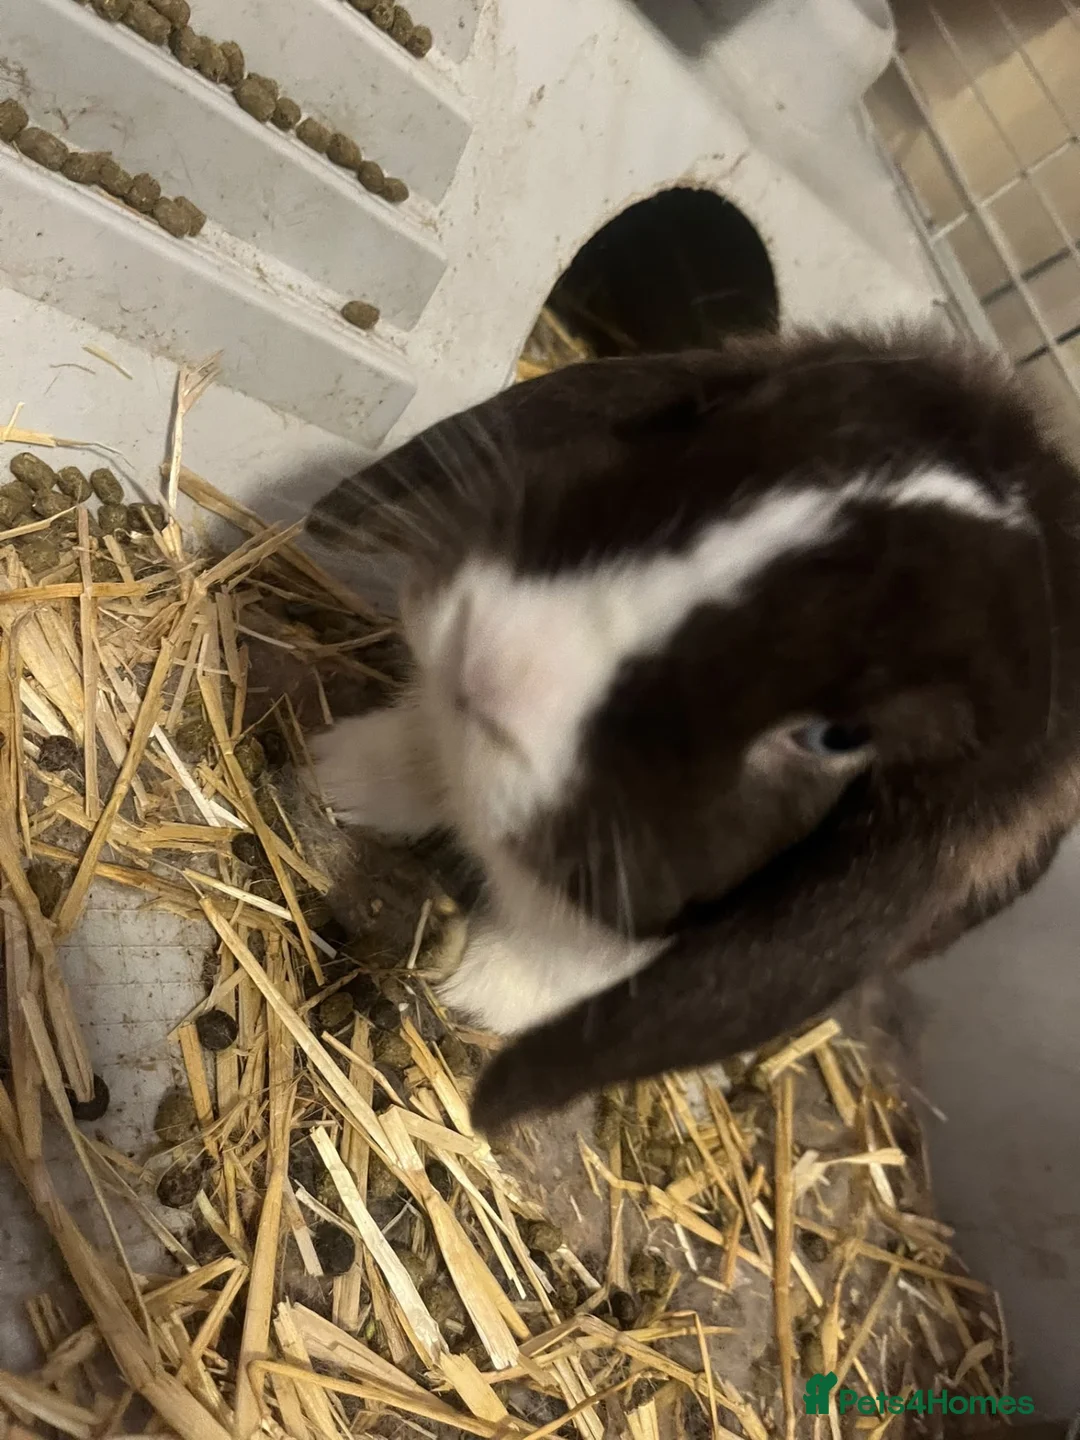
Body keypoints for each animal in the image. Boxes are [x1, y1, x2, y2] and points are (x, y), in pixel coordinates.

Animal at [307, 324, 1080, 1133]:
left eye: (837, 737)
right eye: (709, 419)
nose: (495, 654)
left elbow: (562, 960)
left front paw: (476, 993)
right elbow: (420, 751)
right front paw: (339, 777)